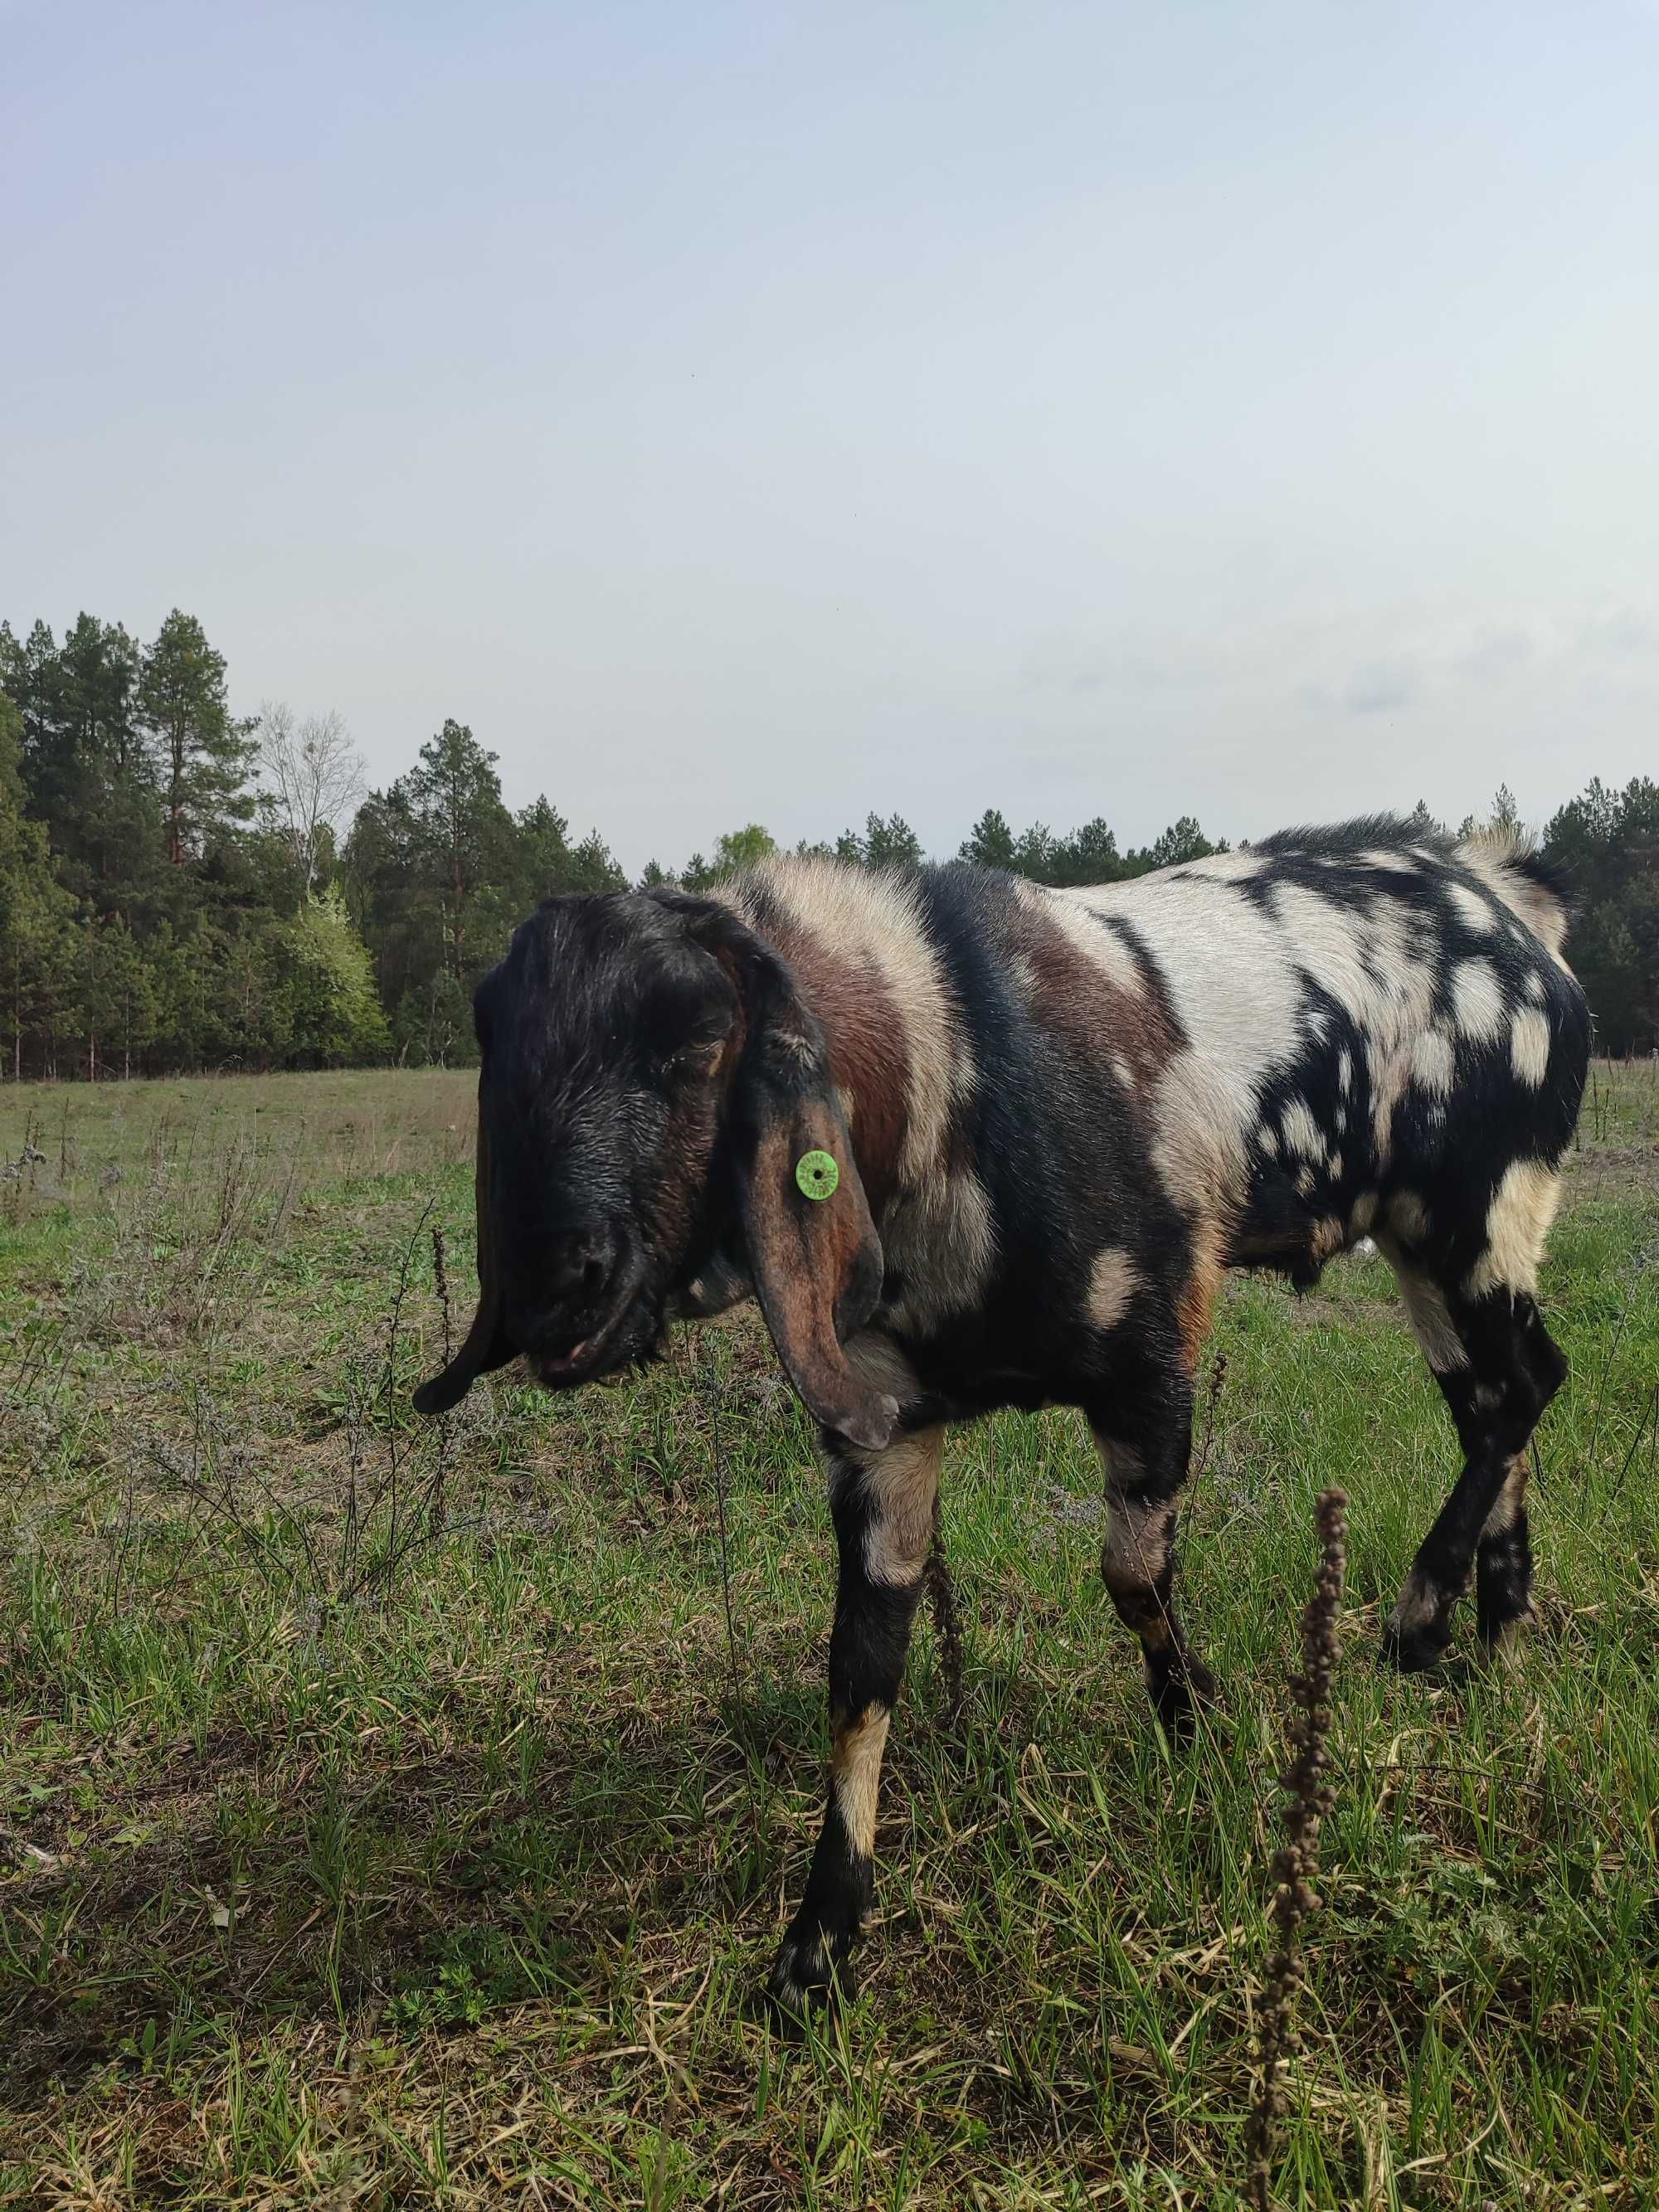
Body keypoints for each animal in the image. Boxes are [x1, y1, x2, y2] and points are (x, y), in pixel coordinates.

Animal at [418, 823, 1601, 2017]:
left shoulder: (1154, 1351)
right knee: (1496, 1405)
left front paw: (1199, 1726)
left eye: (701, 1037)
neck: (958, 1069)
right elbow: (860, 1665)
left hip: (1477, 1215)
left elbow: (1130, 1573)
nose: (552, 1291)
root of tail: (1505, 897)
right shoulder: (882, 1425)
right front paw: (818, 1941)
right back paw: (1495, 1631)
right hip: (1431, 1243)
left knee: (1523, 1389)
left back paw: (1421, 1617)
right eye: (495, 1039)